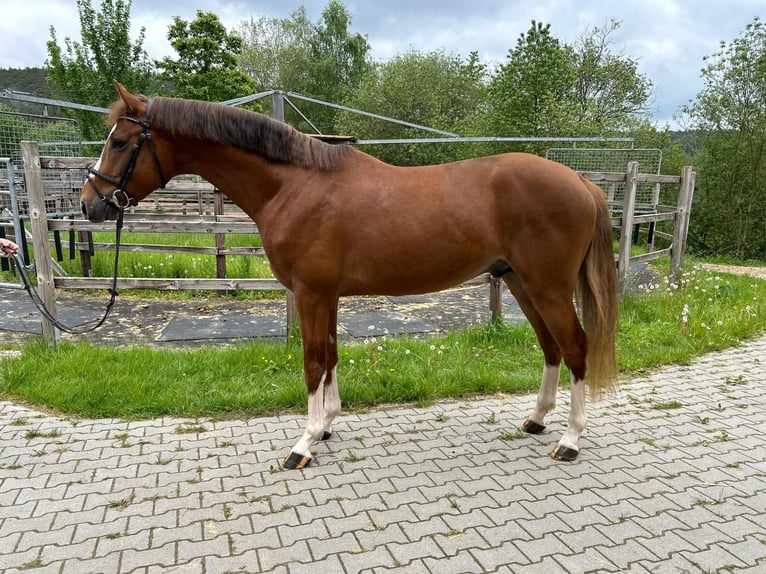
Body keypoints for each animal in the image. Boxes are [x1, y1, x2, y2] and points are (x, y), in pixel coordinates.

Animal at [79, 86, 616, 472]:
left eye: (120, 143)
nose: (89, 205)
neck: (292, 185)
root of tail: (581, 181)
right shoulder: (328, 295)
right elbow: (332, 356)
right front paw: (328, 426)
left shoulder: (311, 293)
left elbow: (313, 362)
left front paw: (303, 444)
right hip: (521, 283)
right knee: (551, 347)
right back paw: (537, 420)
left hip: (546, 287)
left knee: (576, 347)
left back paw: (569, 440)